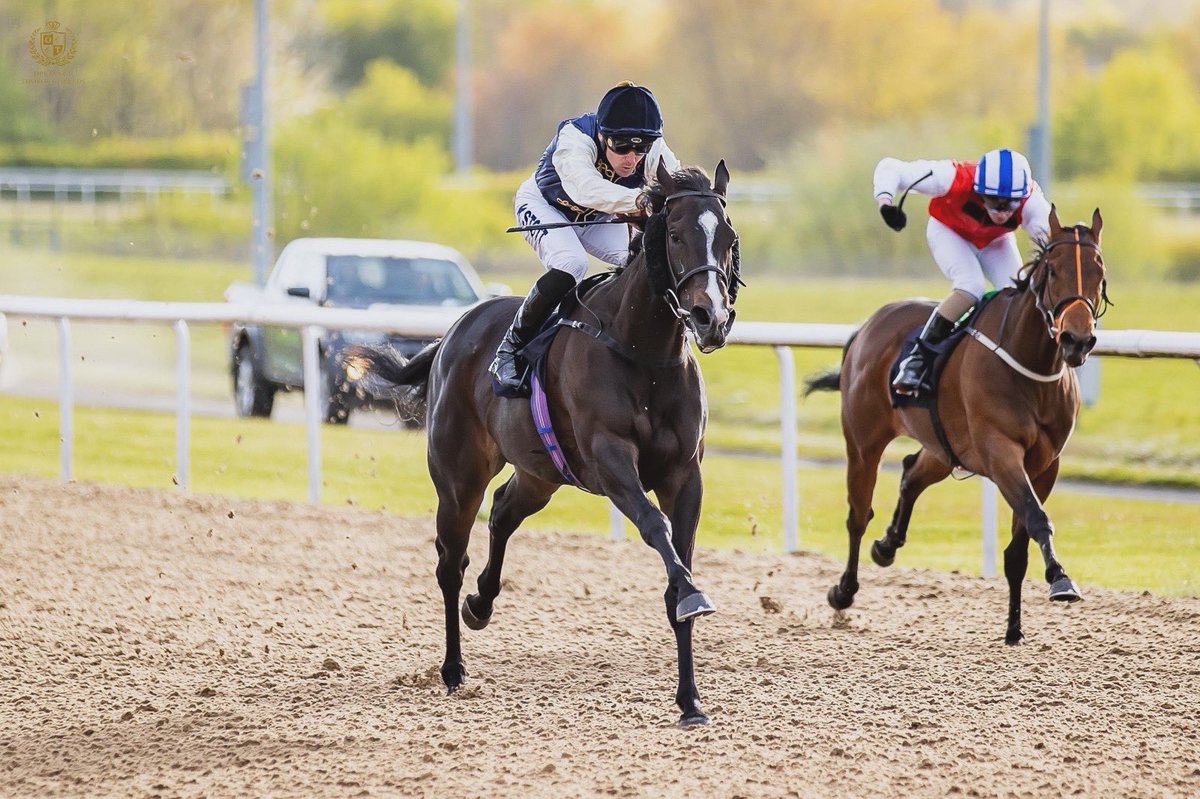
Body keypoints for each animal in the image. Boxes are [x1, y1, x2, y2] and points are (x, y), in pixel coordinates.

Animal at [350, 158, 739, 724]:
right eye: (674, 234)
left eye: (728, 237)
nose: (712, 318)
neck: (643, 351)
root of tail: (451, 334)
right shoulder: (611, 461)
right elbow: (655, 528)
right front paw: (691, 595)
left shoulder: (685, 473)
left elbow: (678, 558)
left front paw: (690, 699)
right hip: (458, 478)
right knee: (450, 560)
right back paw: (453, 668)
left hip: (541, 473)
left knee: (503, 511)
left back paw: (480, 604)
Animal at [811, 205, 1108, 643]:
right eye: (1053, 270)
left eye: (1099, 272)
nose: (1077, 339)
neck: (1030, 363)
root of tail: (867, 326)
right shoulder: (1000, 451)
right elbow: (1037, 517)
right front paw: (1060, 577)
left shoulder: (1045, 464)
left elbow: (1018, 547)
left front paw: (1015, 628)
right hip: (864, 442)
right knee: (858, 514)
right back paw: (844, 591)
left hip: (945, 447)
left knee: (912, 473)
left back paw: (887, 545)